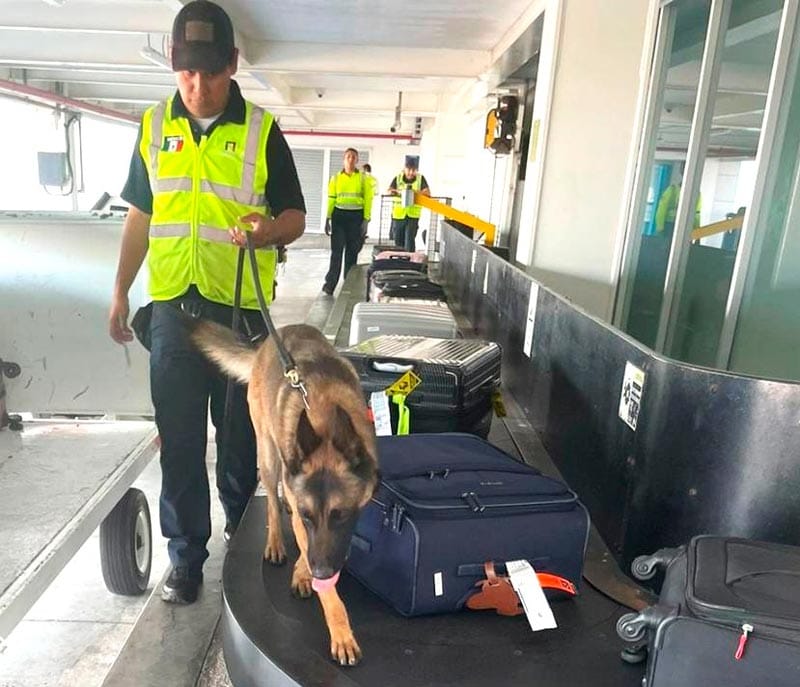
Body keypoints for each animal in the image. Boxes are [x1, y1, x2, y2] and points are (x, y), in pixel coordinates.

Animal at [194, 322, 382, 668]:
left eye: (341, 516)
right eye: (310, 516)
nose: (322, 572)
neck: (324, 419)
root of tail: (271, 339)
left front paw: (305, 573)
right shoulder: (304, 516)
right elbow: (318, 568)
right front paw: (341, 633)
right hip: (268, 456)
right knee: (271, 501)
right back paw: (276, 544)